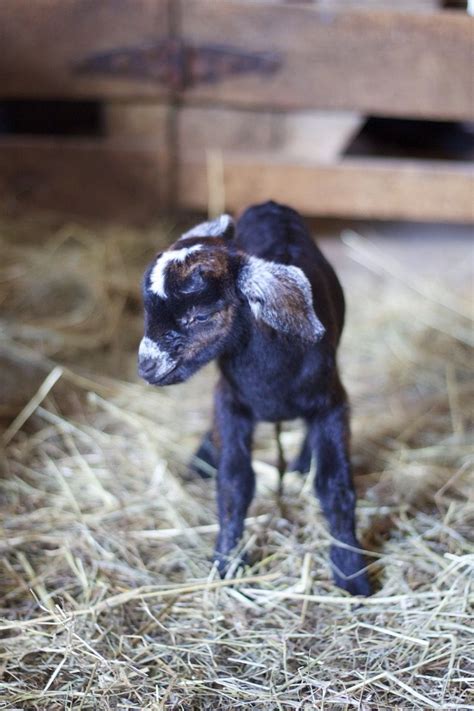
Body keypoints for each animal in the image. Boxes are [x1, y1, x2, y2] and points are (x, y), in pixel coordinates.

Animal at [139, 200, 372, 596]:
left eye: (200, 315)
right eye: (147, 311)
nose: (146, 365)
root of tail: (270, 205)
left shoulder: (331, 403)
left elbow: (335, 486)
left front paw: (351, 572)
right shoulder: (230, 403)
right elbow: (234, 483)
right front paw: (226, 563)